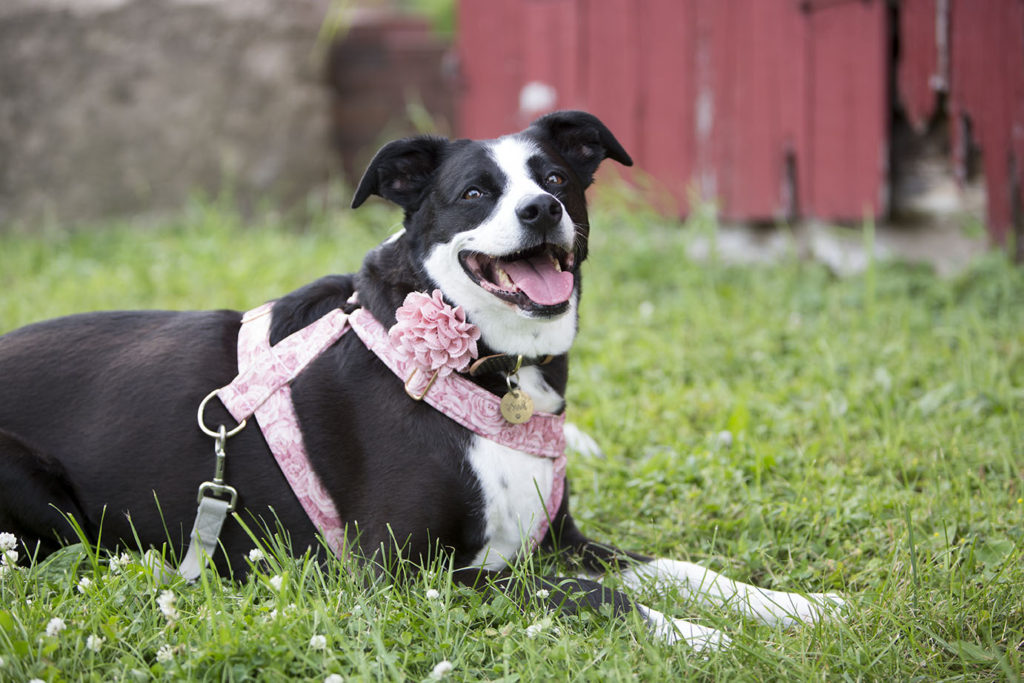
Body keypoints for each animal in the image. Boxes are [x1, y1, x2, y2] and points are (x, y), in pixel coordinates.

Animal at [0, 112, 835, 651]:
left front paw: (792, 604)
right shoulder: (411, 570)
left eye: (558, 176)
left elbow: (684, 568)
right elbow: (589, 594)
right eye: (474, 192)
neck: (487, 372)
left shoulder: (560, 540)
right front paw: (694, 634)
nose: (543, 208)